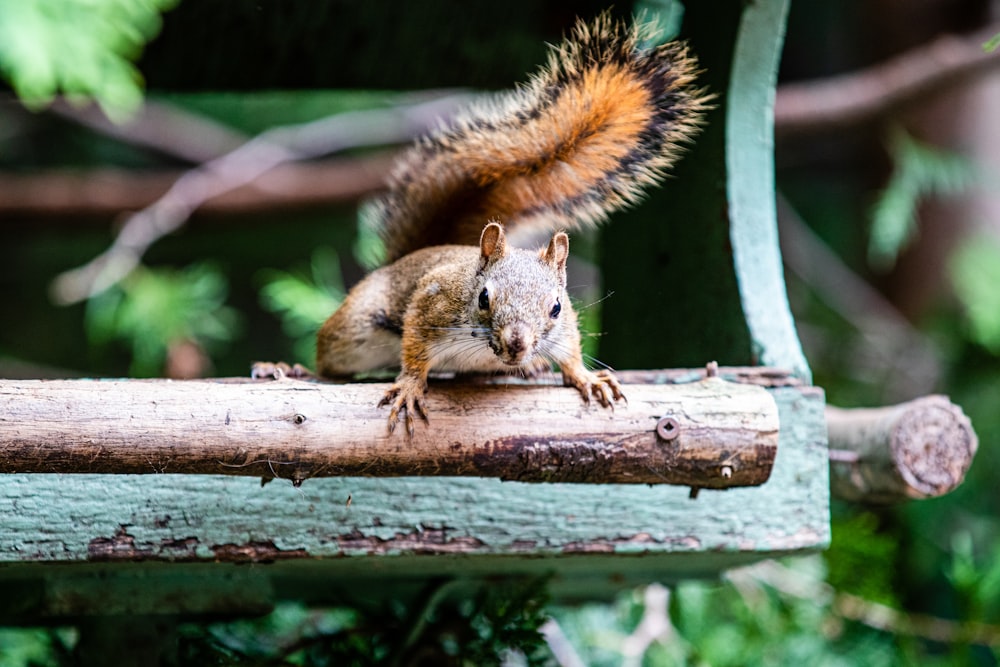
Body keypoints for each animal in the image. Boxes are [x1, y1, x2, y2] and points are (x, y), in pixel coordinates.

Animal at [278, 14, 712, 438]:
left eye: (556, 306)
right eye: (484, 298)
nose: (518, 344)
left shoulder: (565, 324)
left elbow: (571, 349)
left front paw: (587, 377)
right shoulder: (430, 302)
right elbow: (415, 349)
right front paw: (410, 386)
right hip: (354, 330)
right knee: (329, 360)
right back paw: (290, 368)